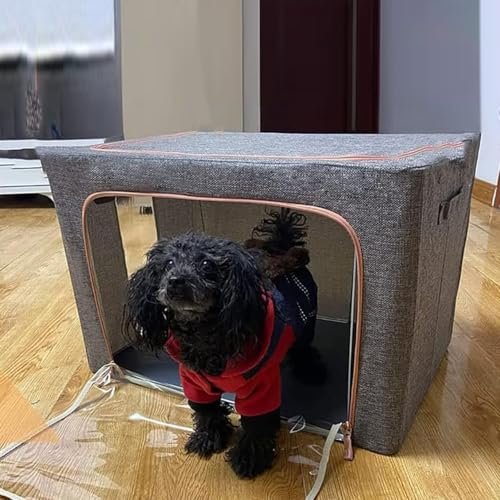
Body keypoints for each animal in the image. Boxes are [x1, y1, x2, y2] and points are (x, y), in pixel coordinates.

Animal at [125, 209, 326, 478]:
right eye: (168, 264)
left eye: (206, 264)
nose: (176, 281)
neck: (204, 336)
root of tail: (280, 249)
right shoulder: (195, 383)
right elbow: (206, 411)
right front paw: (208, 439)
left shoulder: (260, 387)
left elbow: (256, 424)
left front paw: (249, 459)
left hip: (305, 325)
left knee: (304, 350)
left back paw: (311, 371)